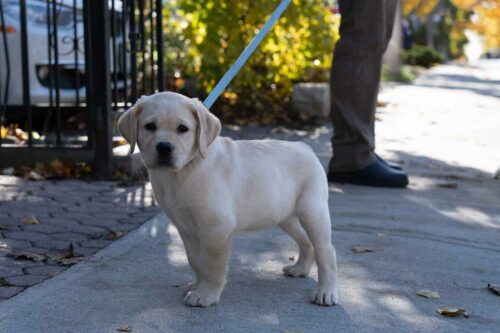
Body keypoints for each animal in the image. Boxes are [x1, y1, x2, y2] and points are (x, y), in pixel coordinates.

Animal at [118, 91, 340, 306]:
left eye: (182, 129)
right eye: (150, 126)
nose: (164, 147)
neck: (185, 170)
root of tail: (305, 147)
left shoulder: (217, 228)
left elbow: (212, 265)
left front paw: (205, 295)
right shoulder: (186, 228)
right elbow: (195, 261)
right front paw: (196, 285)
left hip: (313, 212)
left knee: (327, 251)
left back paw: (325, 292)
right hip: (284, 215)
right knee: (306, 241)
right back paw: (300, 269)